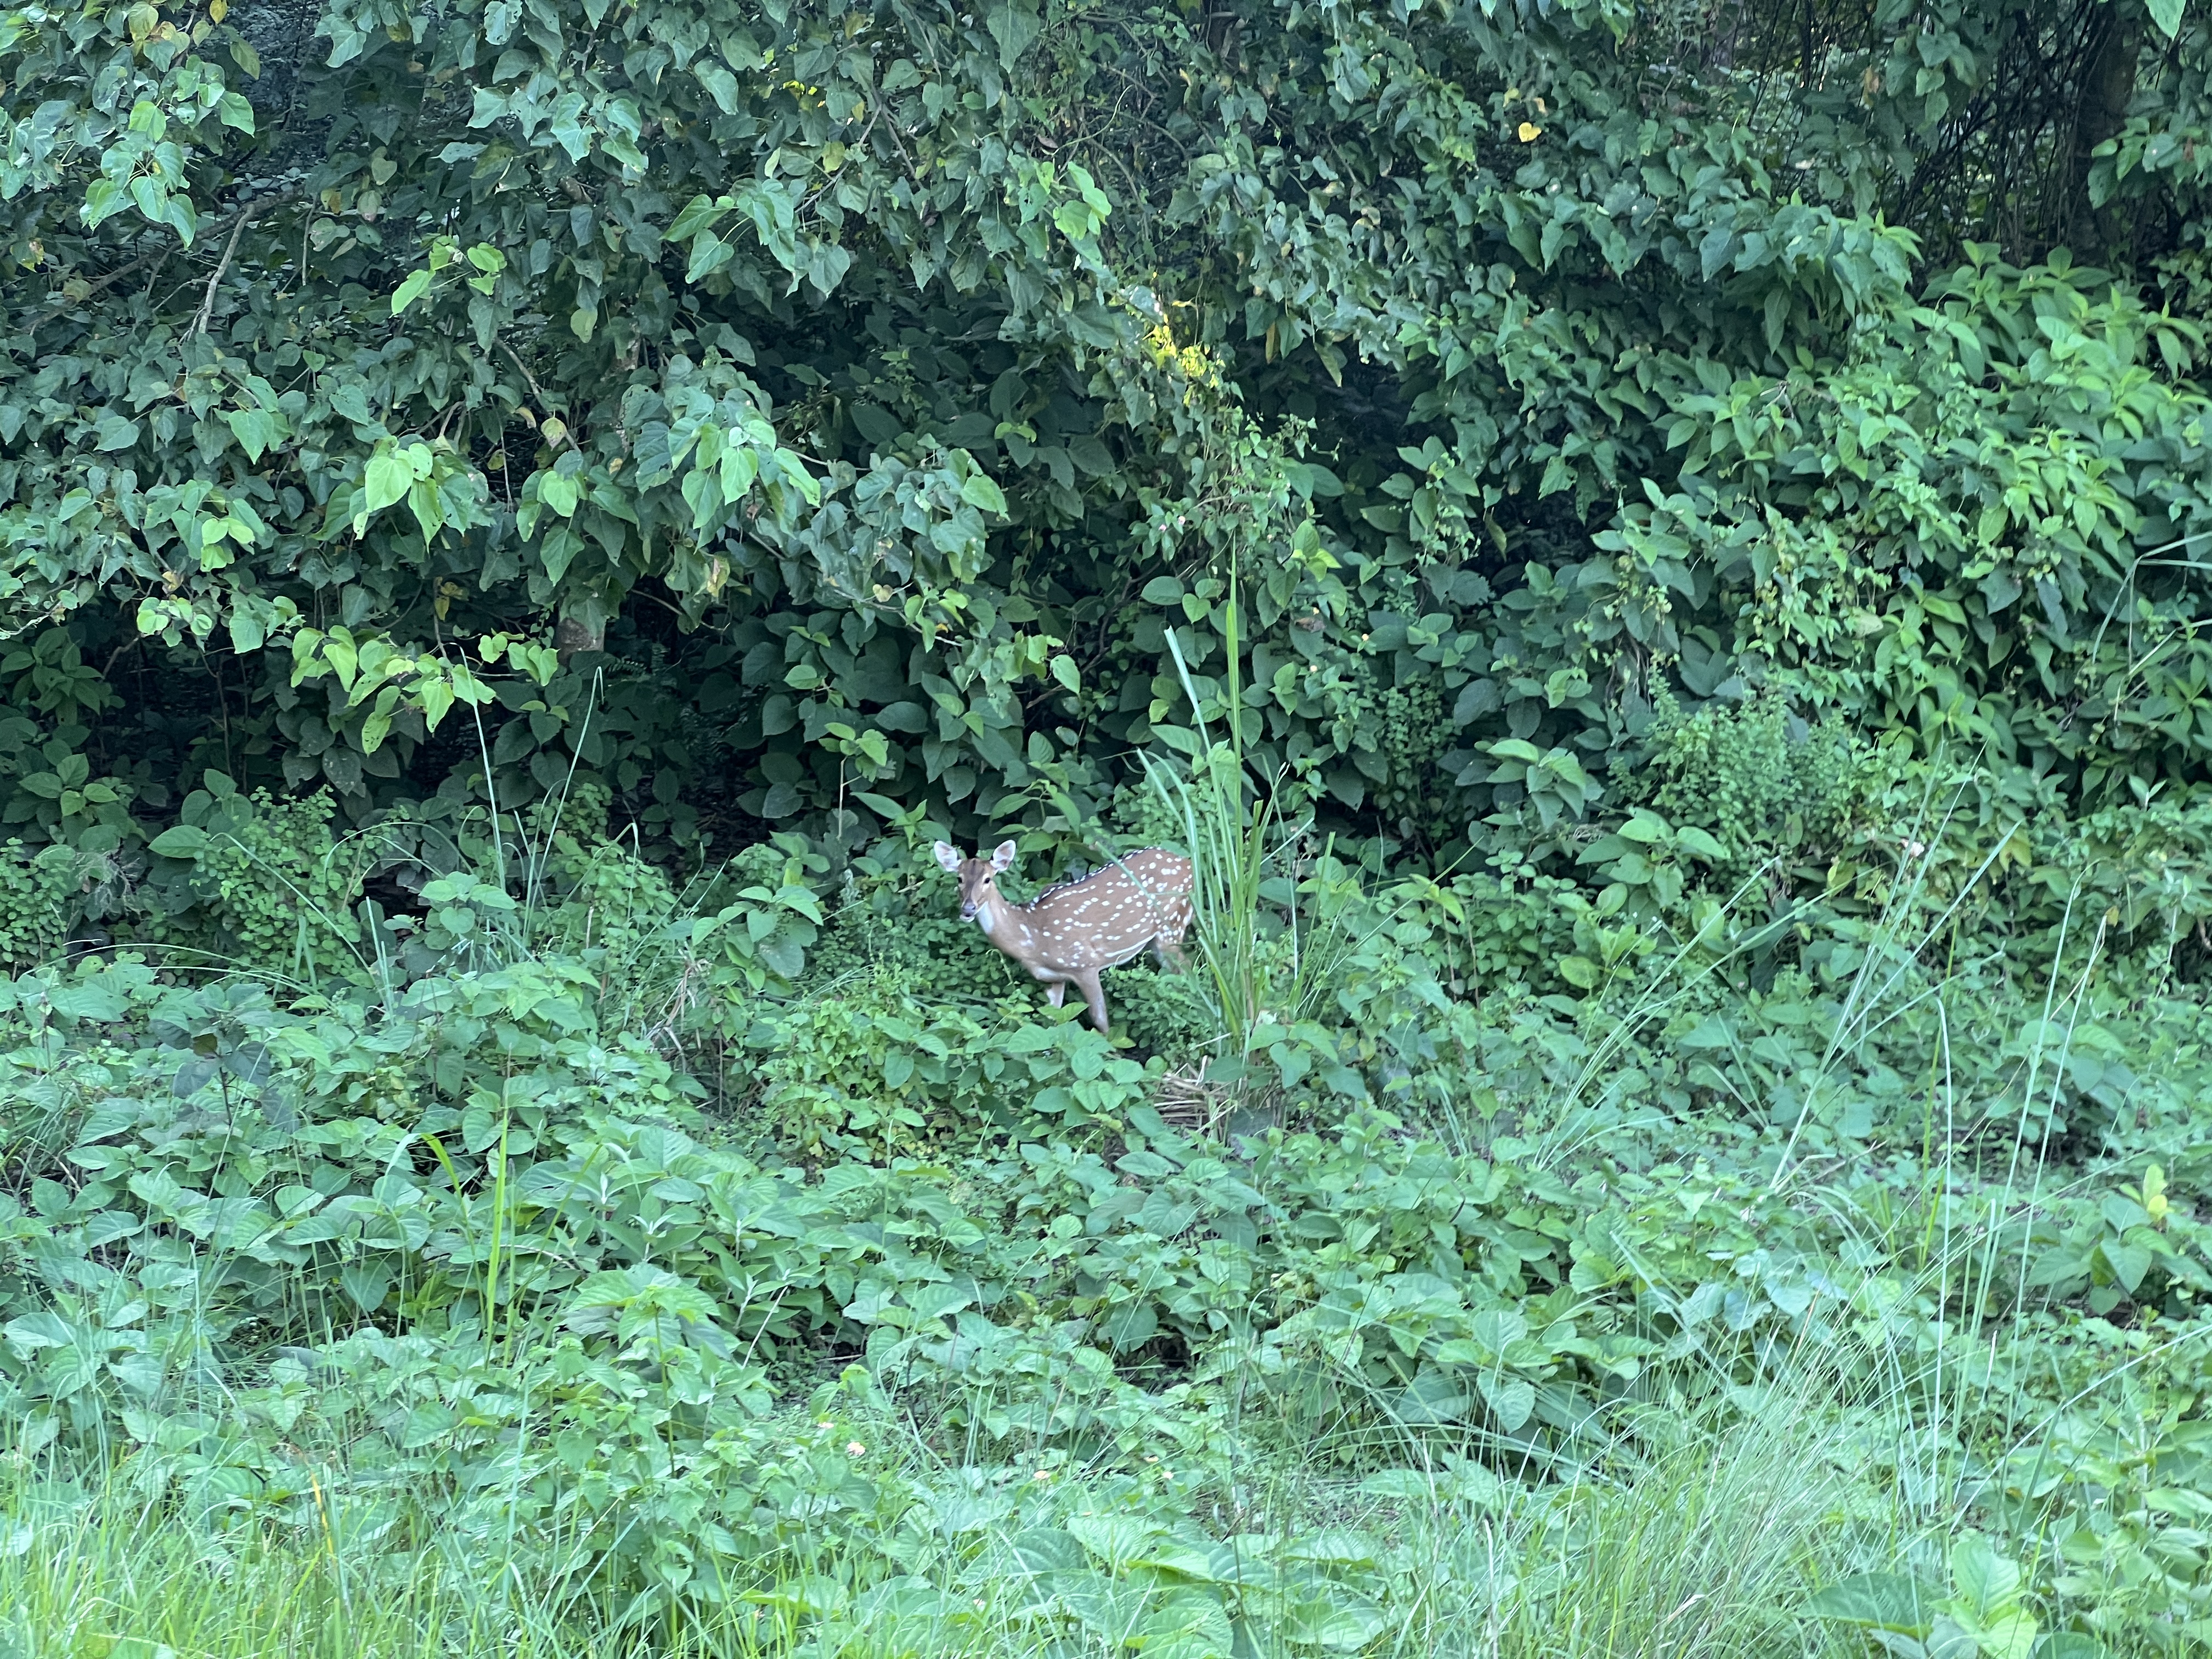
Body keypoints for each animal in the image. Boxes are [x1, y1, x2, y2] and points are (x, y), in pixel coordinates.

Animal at [932, 840, 1195, 1035]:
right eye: (959, 879)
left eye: (988, 879)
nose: (968, 909)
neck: (1032, 939)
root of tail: (1188, 863)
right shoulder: (1052, 979)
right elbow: (1052, 1020)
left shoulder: (1085, 963)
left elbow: (1100, 1019)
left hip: (1172, 924)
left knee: (1188, 970)